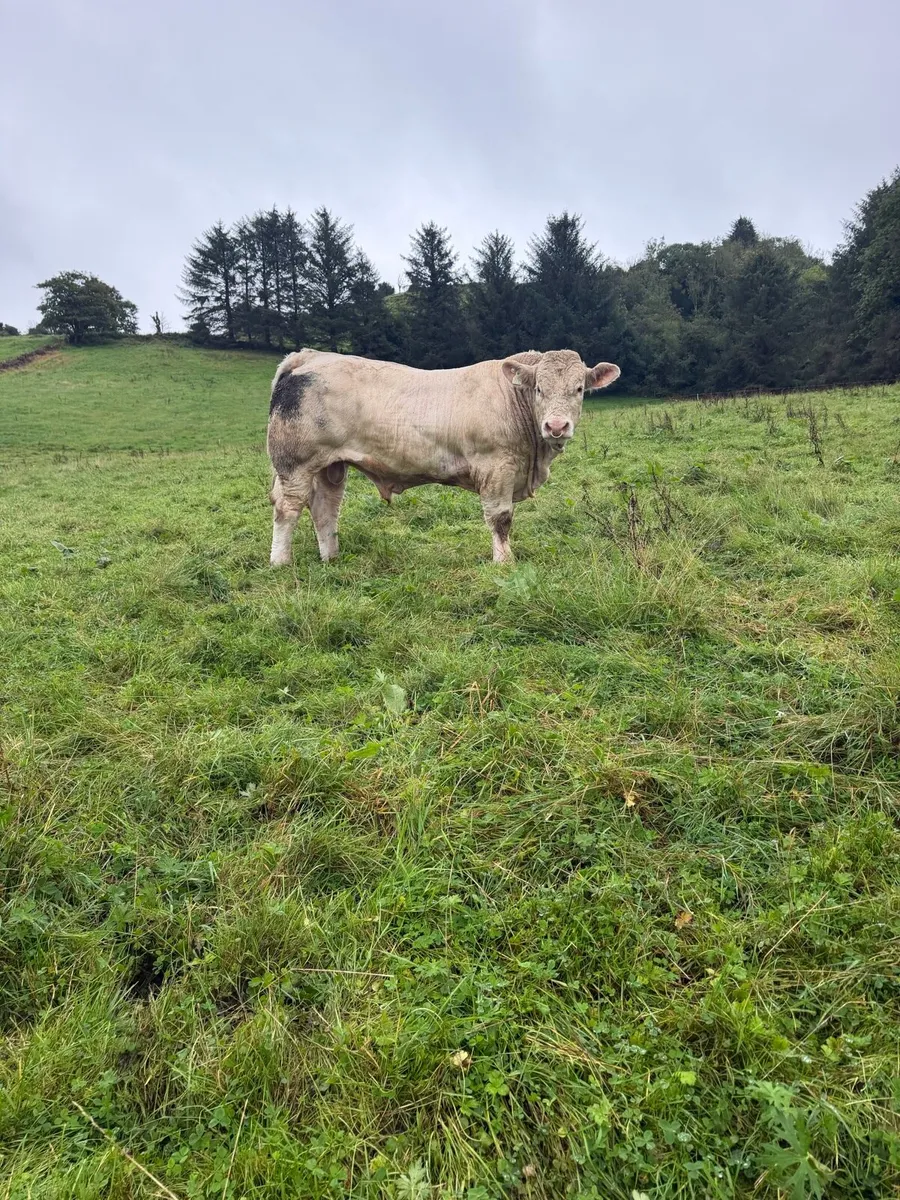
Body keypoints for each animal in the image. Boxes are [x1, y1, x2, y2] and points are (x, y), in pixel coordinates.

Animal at [267, 348, 620, 566]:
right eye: (539, 389)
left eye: (579, 389)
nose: (556, 426)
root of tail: (310, 357)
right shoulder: (496, 467)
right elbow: (500, 518)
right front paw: (504, 562)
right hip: (295, 464)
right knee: (288, 508)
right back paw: (281, 561)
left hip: (330, 466)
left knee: (325, 509)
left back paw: (331, 558)